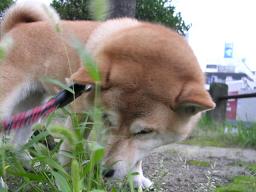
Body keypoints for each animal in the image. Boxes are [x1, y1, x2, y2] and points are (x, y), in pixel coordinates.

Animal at [0, 0, 215, 188]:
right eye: (107, 119)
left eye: (144, 132)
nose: (105, 172)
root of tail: (16, 26)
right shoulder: (81, 112)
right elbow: (71, 149)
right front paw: (69, 177)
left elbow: (136, 156)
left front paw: (137, 179)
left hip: (34, 104)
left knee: (17, 143)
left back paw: (31, 165)